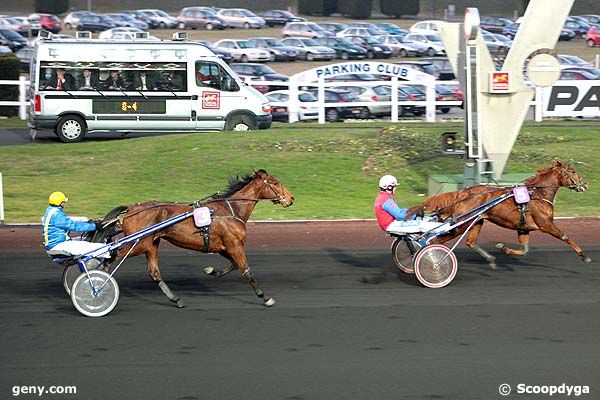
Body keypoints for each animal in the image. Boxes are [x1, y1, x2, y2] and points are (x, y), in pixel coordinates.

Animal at [110, 169, 296, 306]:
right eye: (275, 183)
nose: (291, 198)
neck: (232, 209)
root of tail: (132, 208)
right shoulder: (234, 244)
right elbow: (246, 270)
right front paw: (264, 297)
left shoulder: (222, 246)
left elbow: (234, 265)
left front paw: (211, 271)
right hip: (138, 243)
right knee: (111, 256)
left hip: (151, 244)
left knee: (154, 273)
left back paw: (176, 300)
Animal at [418, 159, 592, 268]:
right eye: (572, 171)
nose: (585, 184)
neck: (537, 194)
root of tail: (462, 193)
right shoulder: (546, 224)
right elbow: (565, 237)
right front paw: (584, 255)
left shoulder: (523, 228)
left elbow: (525, 249)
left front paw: (504, 248)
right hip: (463, 223)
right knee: (436, 240)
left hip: (477, 221)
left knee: (471, 242)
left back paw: (490, 259)